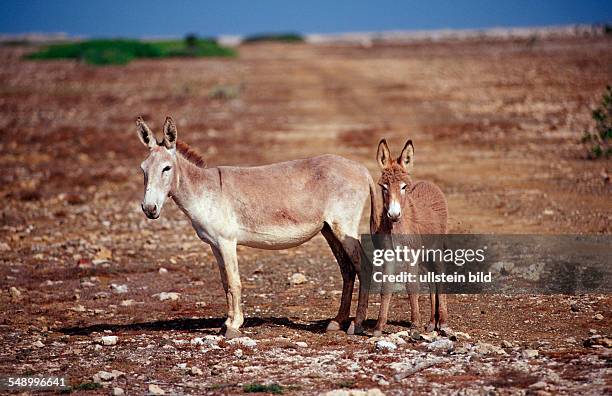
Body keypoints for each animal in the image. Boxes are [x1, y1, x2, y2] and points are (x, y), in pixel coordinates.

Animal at [136, 116, 376, 336]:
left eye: (166, 168)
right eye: (143, 169)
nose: (149, 209)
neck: (204, 190)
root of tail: (362, 169)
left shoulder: (227, 241)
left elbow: (234, 282)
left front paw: (234, 325)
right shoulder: (214, 244)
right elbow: (225, 283)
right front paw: (226, 322)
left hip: (344, 227)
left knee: (363, 267)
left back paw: (356, 325)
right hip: (329, 229)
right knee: (347, 270)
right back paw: (337, 322)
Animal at [370, 138, 448, 336]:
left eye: (404, 187)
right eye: (383, 187)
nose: (393, 214)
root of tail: (429, 183)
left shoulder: (411, 255)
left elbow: (412, 286)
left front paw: (414, 325)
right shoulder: (388, 255)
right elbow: (386, 288)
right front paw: (379, 327)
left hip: (436, 248)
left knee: (440, 275)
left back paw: (443, 323)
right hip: (425, 255)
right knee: (431, 280)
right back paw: (432, 323)